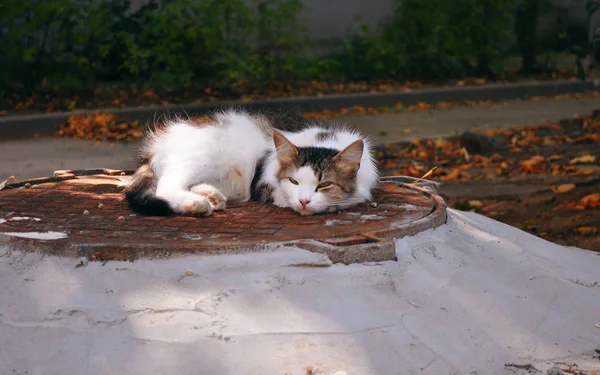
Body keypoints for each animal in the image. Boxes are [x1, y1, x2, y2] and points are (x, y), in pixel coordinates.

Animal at [125, 108, 380, 217]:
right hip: (202, 154)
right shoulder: (264, 178)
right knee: (166, 186)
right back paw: (195, 204)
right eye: (294, 181)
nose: (304, 200)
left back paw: (210, 196)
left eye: (324, 184)